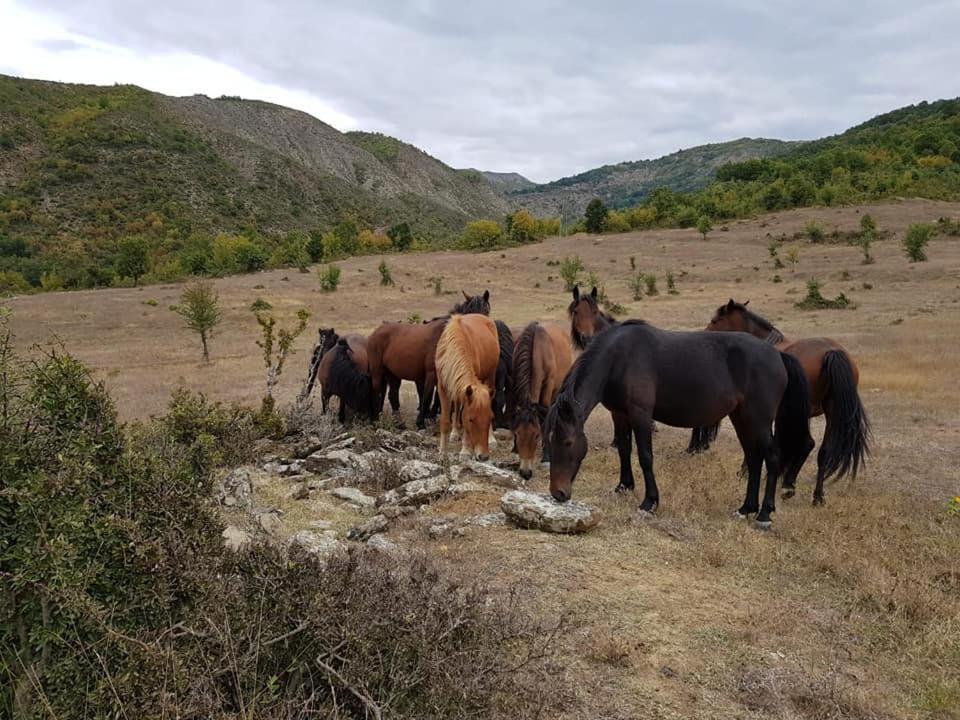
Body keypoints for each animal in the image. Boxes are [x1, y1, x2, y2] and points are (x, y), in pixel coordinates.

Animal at [434, 312, 496, 458]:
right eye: (472, 419)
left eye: (491, 417)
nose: (483, 456)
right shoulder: (442, 387)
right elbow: (445, 420)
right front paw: (442, 451)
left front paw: (465, 450)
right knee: (457, 404)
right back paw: (455, 432)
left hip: (490, 376)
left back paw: (491, 438)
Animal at [510, 320, 568, 478]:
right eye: (517, 433)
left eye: (536, 435)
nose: (525, 472)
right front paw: (514, 450)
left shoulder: (548, 387)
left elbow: (545, 419)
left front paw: (546, 457)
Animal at [548, 320, 808, 528]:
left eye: (567, 442)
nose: (558, 493)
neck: (619, 358)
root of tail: (778, 355)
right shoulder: (619, 414)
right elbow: (624, 449)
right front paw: (624, 486)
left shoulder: (641, 415)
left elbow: (645, 457)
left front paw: (649, 502)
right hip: (741, 418)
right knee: (754, 459)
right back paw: (746, 509)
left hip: (759, 420)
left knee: (771, 457)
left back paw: (764, 514)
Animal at [692, 300, 872, 506]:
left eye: (715, 320)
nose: (703, 336)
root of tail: (832, 352)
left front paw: (748, 471)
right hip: (829, 411)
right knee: (822, 451)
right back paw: (815, 494)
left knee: (806, 443)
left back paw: (788, 484)